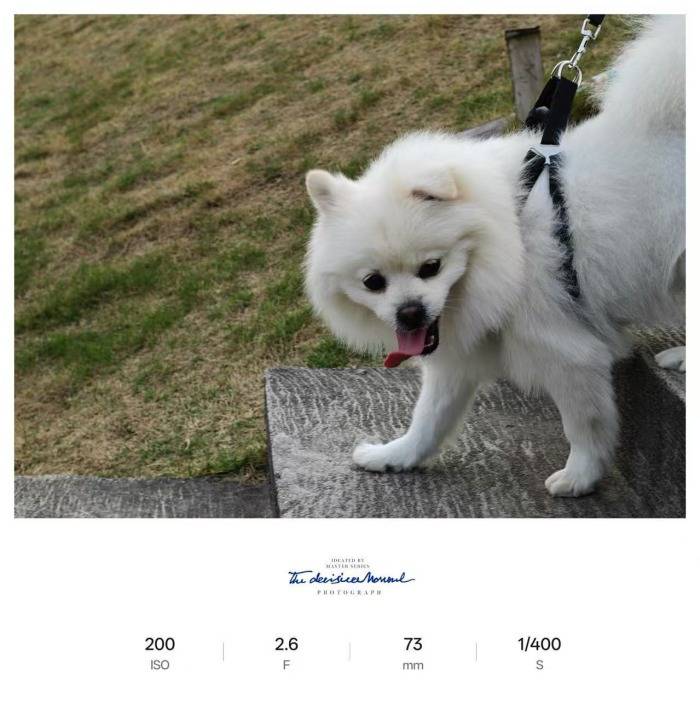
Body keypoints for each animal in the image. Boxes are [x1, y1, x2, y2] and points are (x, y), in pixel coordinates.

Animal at [304, 16, 685, 497]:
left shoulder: (566, 350)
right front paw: (394, 457)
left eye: (431, 267)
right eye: (373, 282)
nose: (409, 314)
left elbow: (583, 423)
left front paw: (579, 477)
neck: (509, 238)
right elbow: (428, 420)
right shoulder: (456, 360)